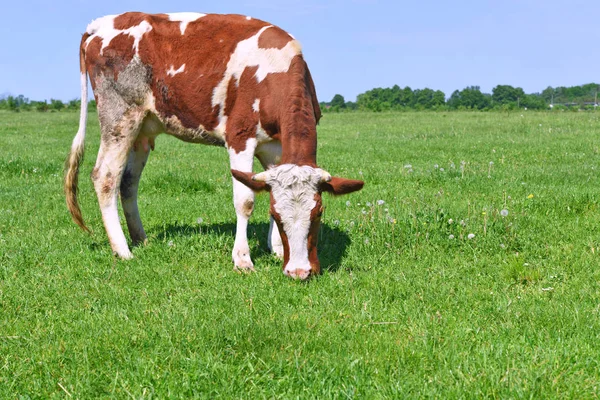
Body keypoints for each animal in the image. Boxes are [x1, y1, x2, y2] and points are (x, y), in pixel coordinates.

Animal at [67, 13, 364, 282]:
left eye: (318, 213)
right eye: (278, 217)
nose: (299, 271)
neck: (274, 71)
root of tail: (104, 22)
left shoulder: (276, 147)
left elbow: (267, 187)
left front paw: (278, 250)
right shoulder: (240, 137)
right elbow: (245, 200)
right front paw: (243, 259)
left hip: (142, 129)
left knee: (128, 182)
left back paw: (140, 238)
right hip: (119, 117)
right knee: (106, 177)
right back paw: (122, 250)